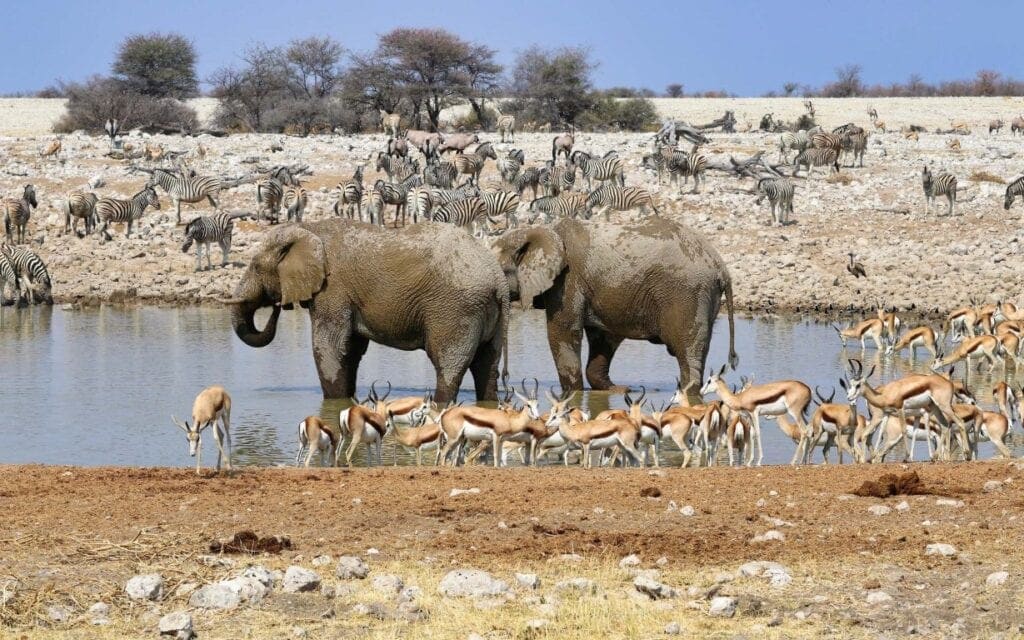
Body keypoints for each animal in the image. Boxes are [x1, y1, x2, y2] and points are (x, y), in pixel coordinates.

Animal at [227, 218, 507, 399]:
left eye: (255, 266)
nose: (277, 305)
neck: (308, 229)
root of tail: (499, 280)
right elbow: (350, 350)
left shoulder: (333, 289)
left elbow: (328, 346)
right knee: (487, 366)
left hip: (456, 309)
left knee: (448, 365)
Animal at [489, 218, 737, 399]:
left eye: (502, 270)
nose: (506, 381)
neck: (542, 231)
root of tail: (722, 268)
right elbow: (603, 337)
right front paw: (617, 391)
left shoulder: (568, 281)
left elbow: (563, 332)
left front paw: (573, 395)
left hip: (689, 294)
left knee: (687, 352)